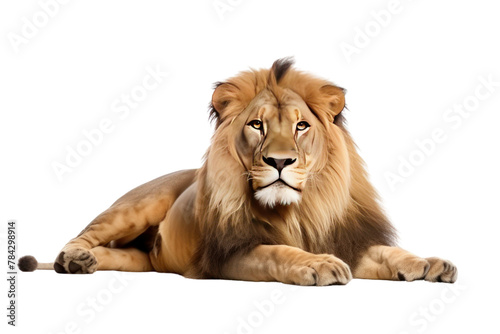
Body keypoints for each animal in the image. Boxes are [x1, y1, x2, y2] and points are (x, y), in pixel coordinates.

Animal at [19, 58, 458, 286]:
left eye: (301, 126)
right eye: (257, 125)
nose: (279, 162)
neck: (298, 210)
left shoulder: (347, 238)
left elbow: (385, 251)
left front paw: (429, 263)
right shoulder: (231, 255)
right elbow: (278, 252)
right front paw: (318, 264)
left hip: (141, 260)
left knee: (118, 255)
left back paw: (86, 264)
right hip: (135, 206)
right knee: (83, 233)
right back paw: (73, 259)